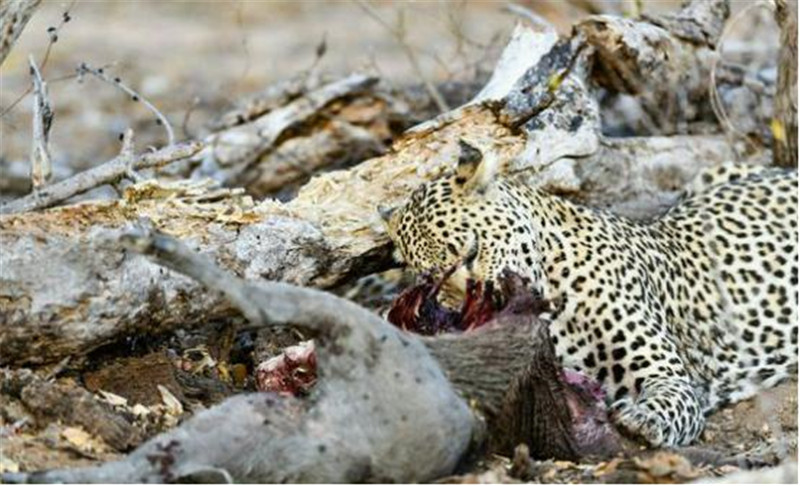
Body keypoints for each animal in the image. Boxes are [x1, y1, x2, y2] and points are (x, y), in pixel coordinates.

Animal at [382, 139, 800, 446]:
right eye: (430, 282)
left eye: (471, 252)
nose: (478, 313)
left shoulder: (670, 376)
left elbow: (670, 399)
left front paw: (643, 416)